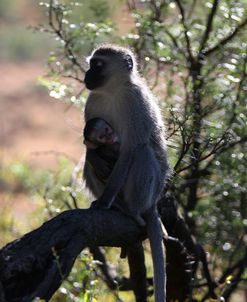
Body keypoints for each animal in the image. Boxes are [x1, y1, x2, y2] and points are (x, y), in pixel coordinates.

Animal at [84, 43, 169, 300]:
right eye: (91, 64)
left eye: (98, 65)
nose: (87, 75)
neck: (112, 90)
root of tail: (153, 203)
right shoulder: (92, 101)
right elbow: (88, 147)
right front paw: (94, 156)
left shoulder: (137, 103)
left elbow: (131, 149)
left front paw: (103, 202)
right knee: (88, 164)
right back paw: (118, 205)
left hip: (152, 190)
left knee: (143, 153)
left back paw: (131, 210)